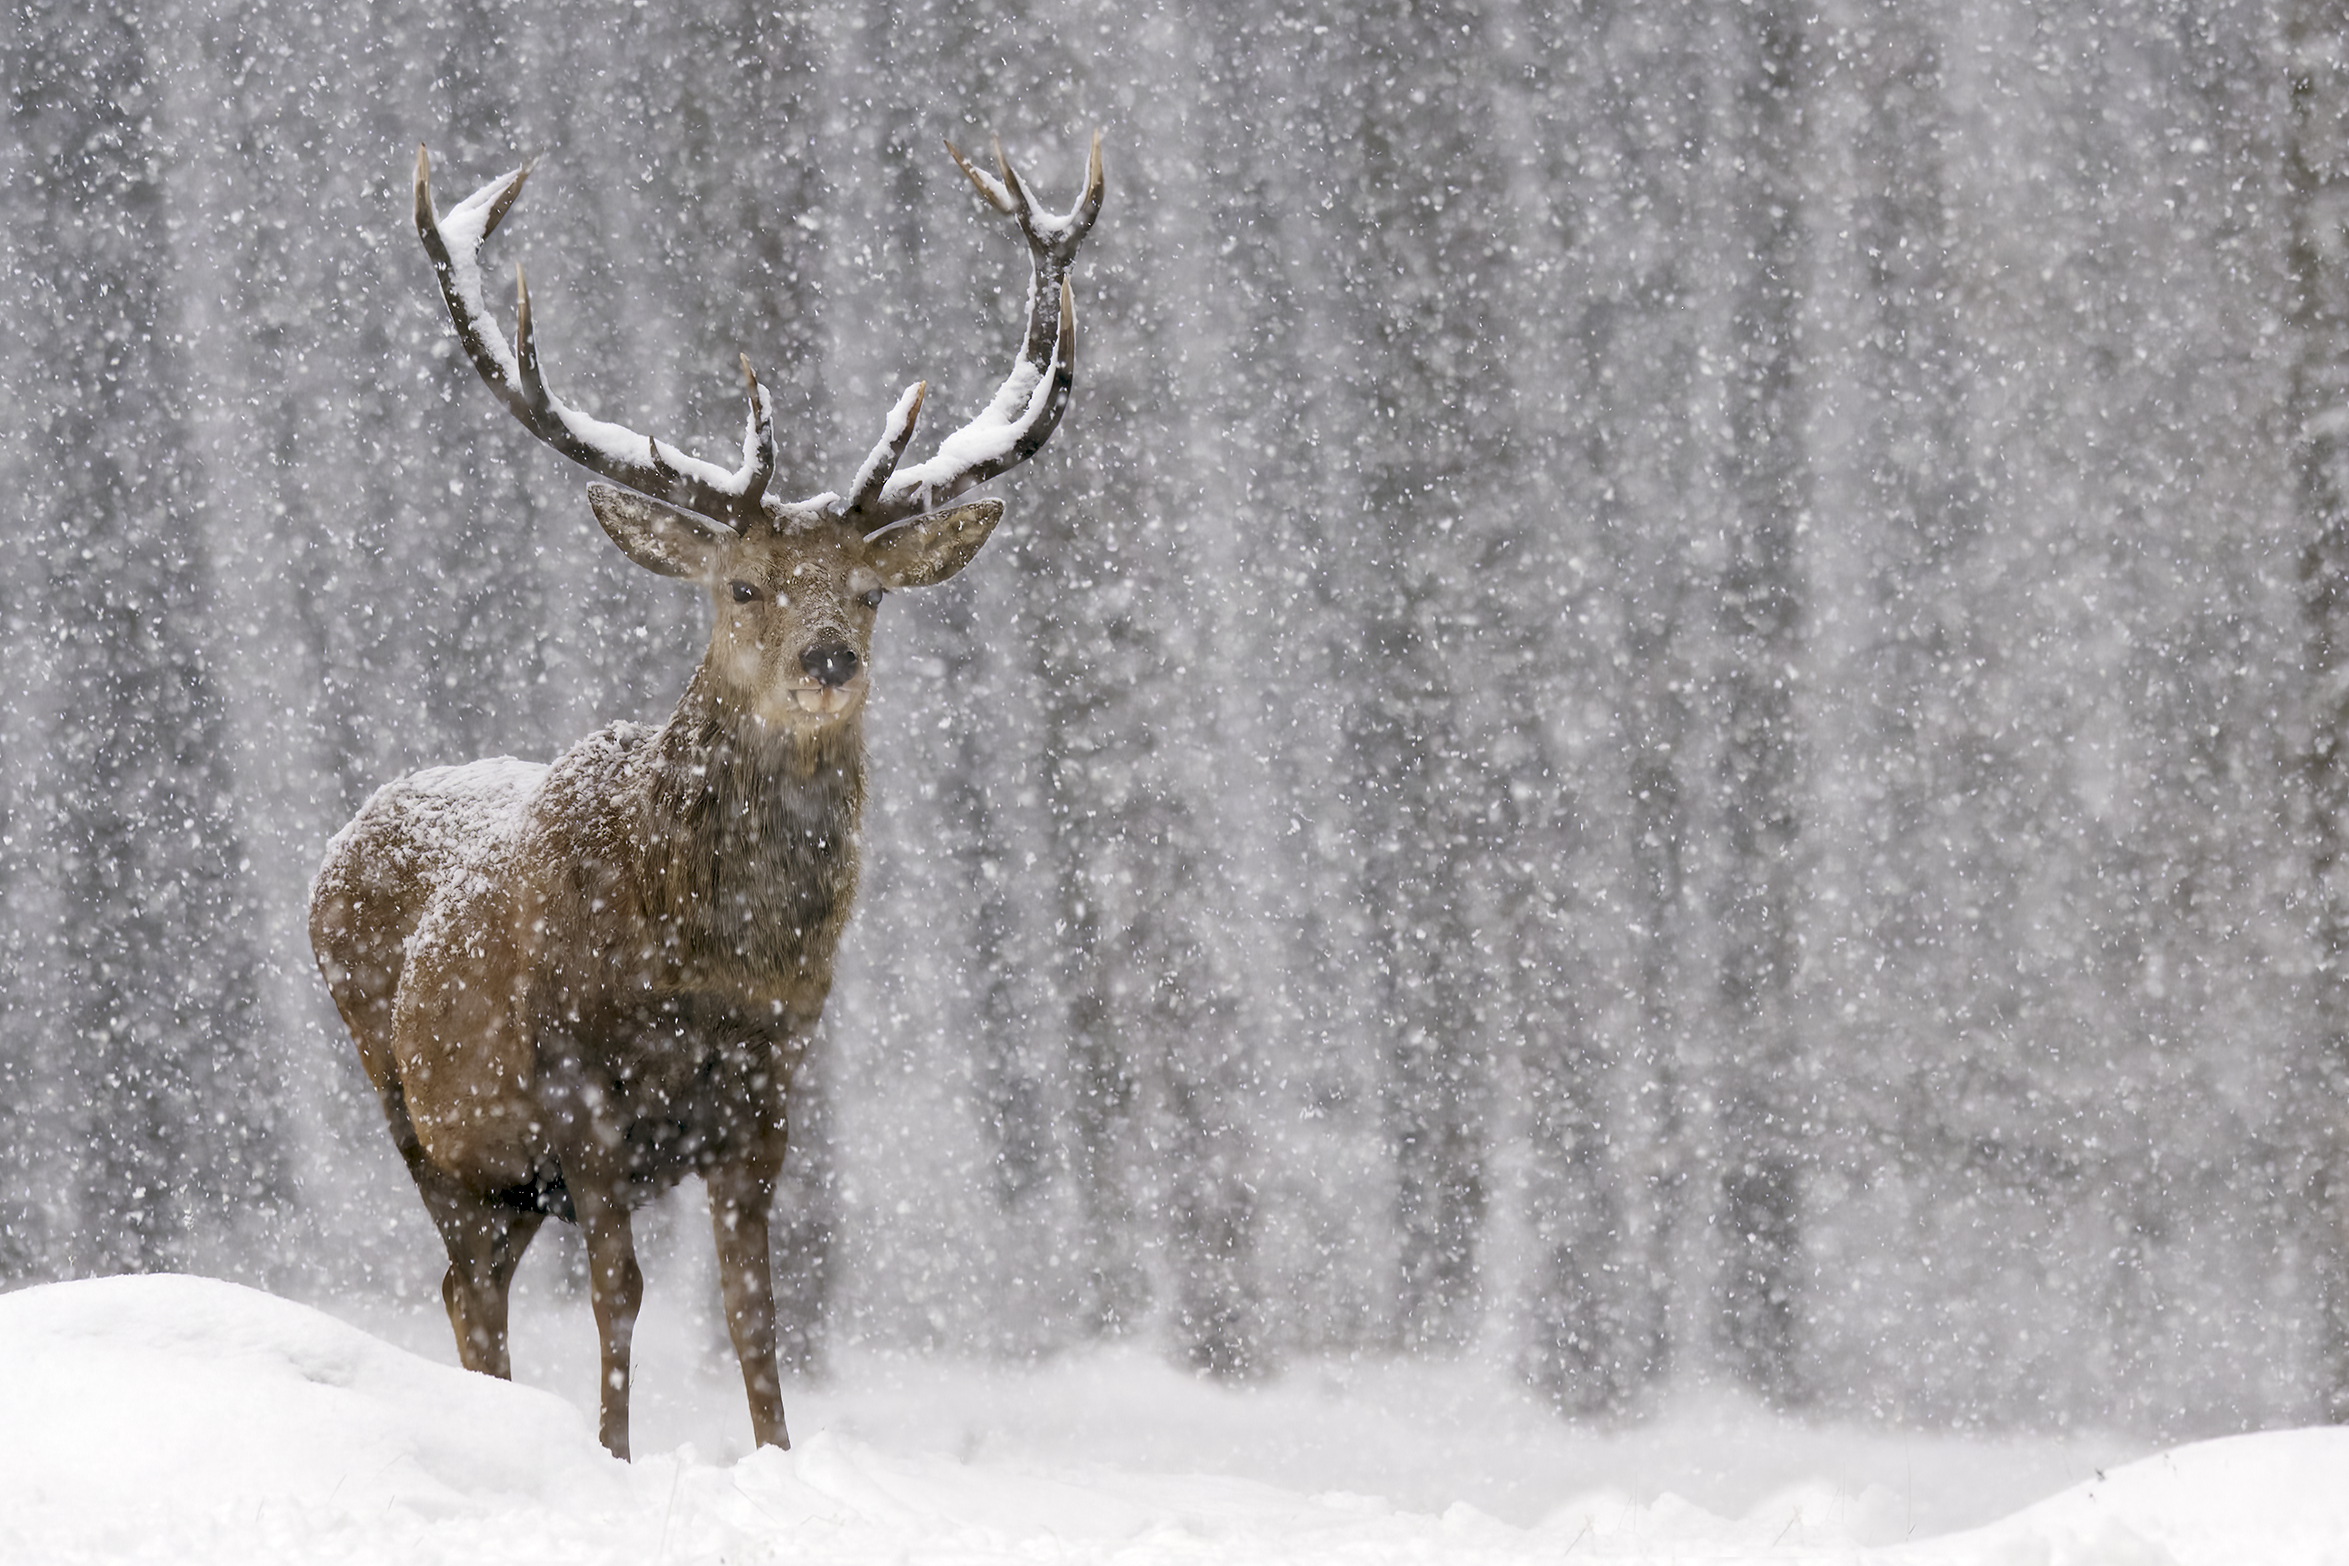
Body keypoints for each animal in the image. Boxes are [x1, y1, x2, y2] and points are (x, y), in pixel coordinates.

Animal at [308, 135, 1102, 1460]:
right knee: (466, 1281)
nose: (828, 659)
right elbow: (621, 1291)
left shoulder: (767, 1093)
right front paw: (613, 1456)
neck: (708, 964)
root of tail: (334, 851)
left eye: (869, 592)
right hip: (418, 1109)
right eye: (741, 586)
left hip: (503, 1168)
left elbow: (753, 1306)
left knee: (474, 1283)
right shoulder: (578, 1087)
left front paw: (778, 1457)